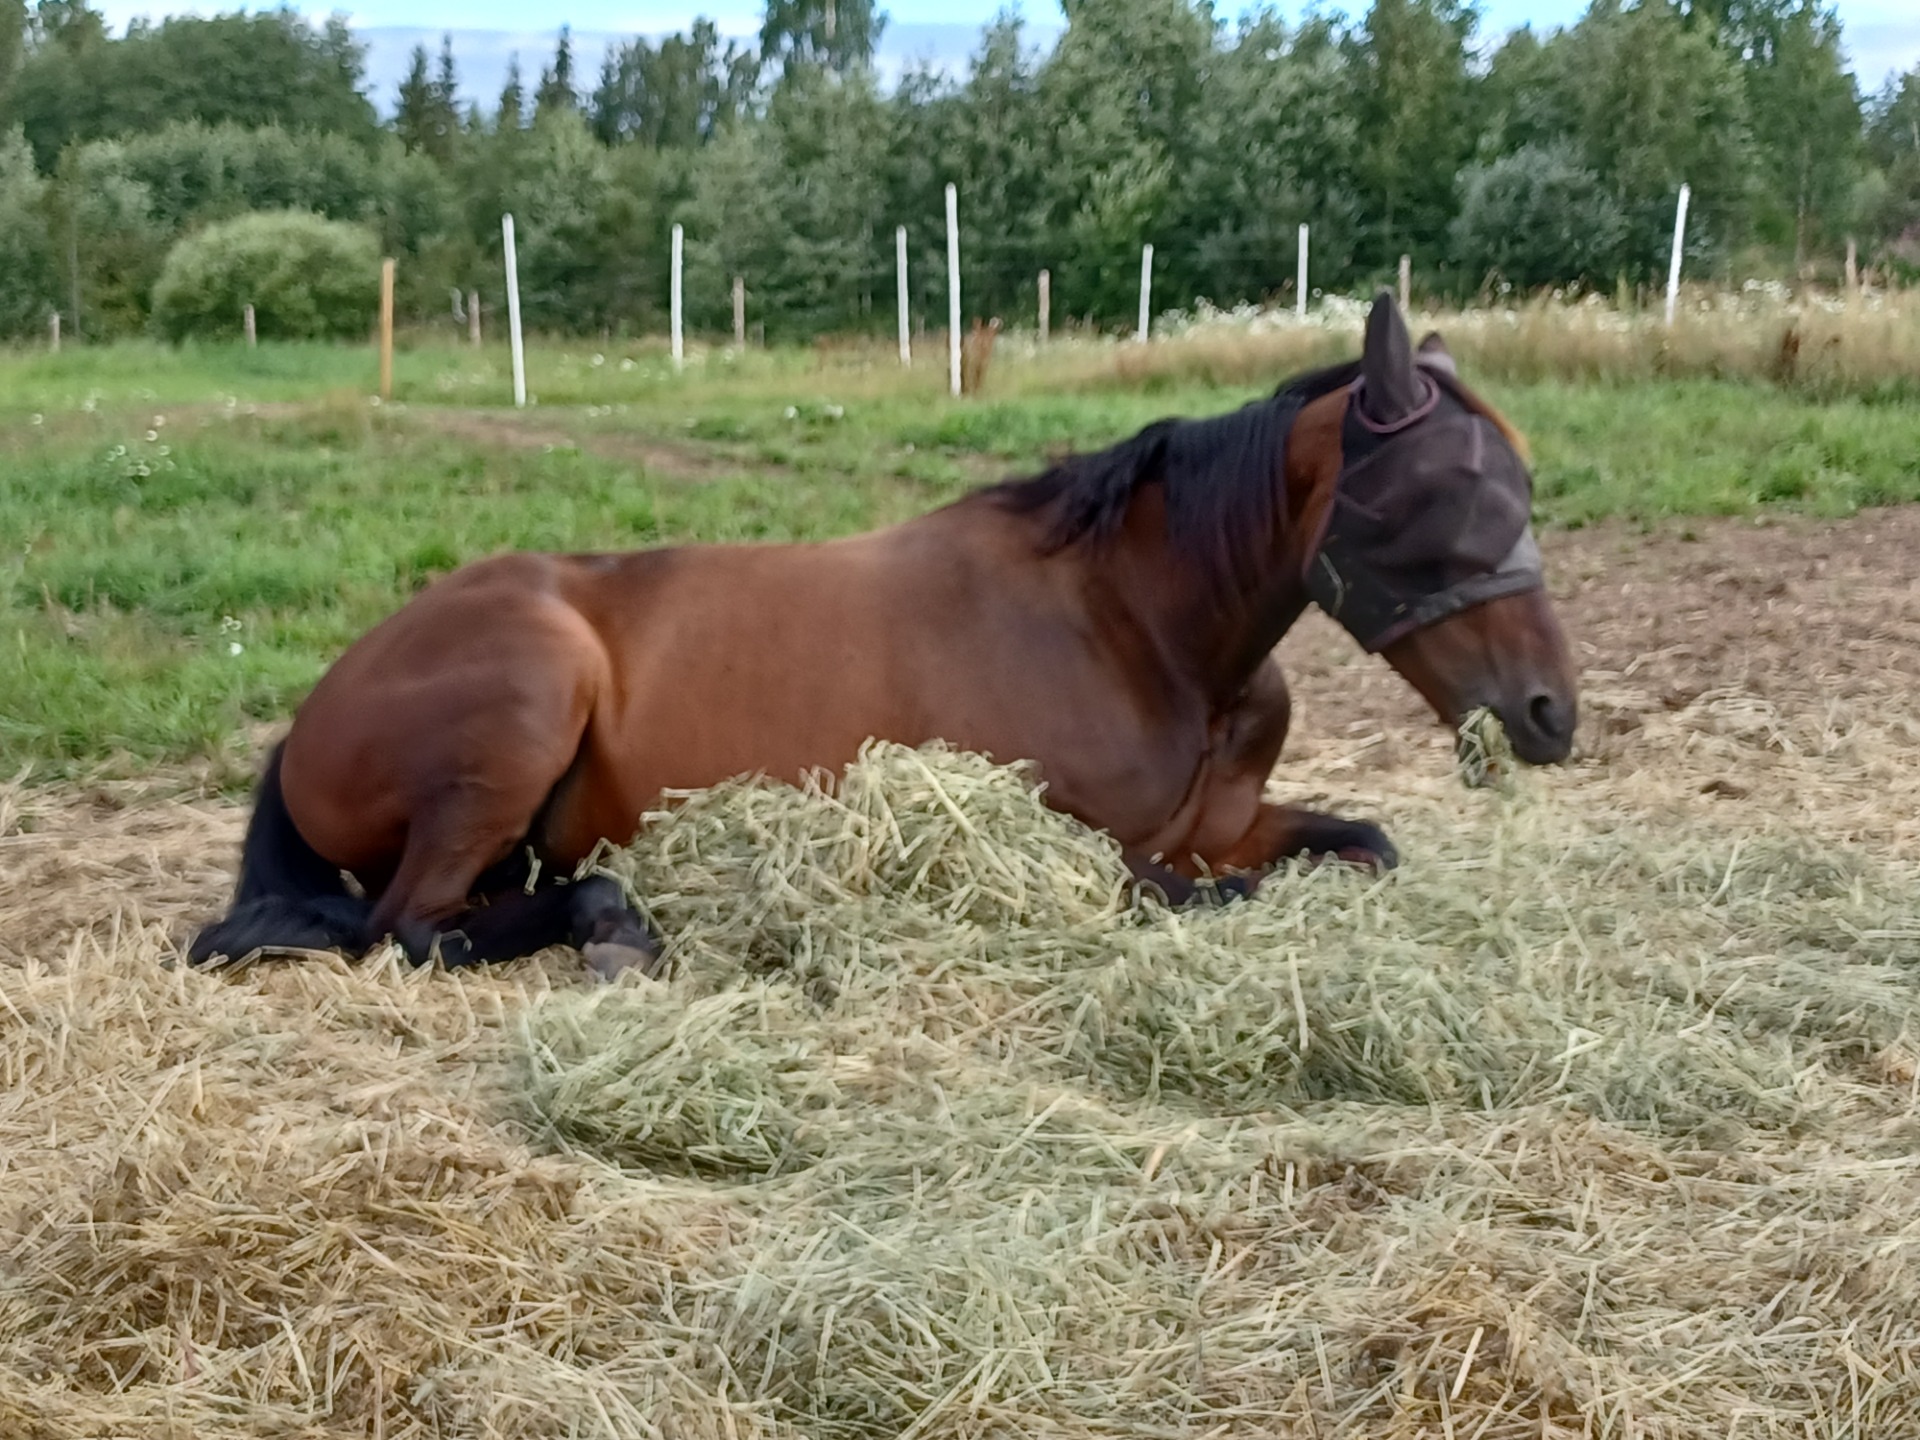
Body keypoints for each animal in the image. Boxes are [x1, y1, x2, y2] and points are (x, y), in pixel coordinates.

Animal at [189, 291, 1577, 977]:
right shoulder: (1086, 848)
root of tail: (309, 720)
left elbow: (1365, 845)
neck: (1134, 630)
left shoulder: (1229, 825)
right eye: (1445, 496)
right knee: (408, 928)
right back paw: (614, 924)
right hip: (527, 703)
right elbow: (1195, 895)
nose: (1549, 715)